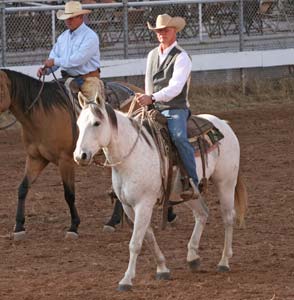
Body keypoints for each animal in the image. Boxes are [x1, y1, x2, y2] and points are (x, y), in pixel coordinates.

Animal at [0, 69, 142, 240]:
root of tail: (138, 92)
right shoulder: (36, 158)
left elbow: (69, 194)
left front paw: (73, 227)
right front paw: (19, 226)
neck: (43, 115)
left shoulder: (65, 160)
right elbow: (23, 188)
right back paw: (113, 221)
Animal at [74, 93, 248, 290]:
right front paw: (162, 269)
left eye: (96, 123)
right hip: (188, 192)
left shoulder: (143, 204)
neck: (132, 155)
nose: (80, 156)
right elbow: (148, 237)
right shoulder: (128, 206)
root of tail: (224, 124)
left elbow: (135, 242)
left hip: (226, 182)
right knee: (202, 213)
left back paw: (224, 261)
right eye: (78, 124)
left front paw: (126, 280)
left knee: (228, 218)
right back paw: (193, 257)